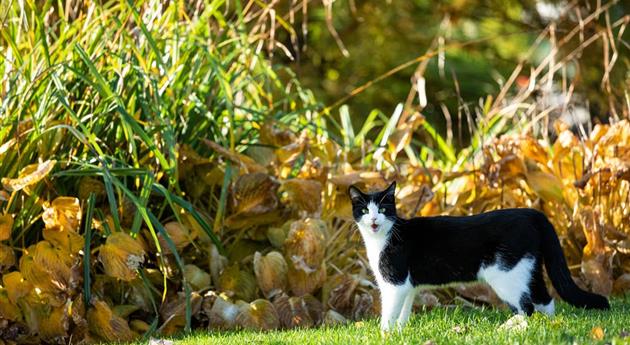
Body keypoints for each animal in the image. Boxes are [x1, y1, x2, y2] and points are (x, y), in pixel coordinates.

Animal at [350, 183, 612, 330]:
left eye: (383, 209)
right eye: (364, 210)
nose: (373, 219)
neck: (382, 239)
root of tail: (531, 213)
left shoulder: (394, 283)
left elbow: (389, 313)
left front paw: (385, 334)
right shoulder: (407, 286)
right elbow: (402, 313)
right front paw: (400, 332)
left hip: (506, 275)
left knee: (526, 307)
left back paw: (513, 329)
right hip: (529, 266)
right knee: (544, 299)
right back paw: (549, 326)